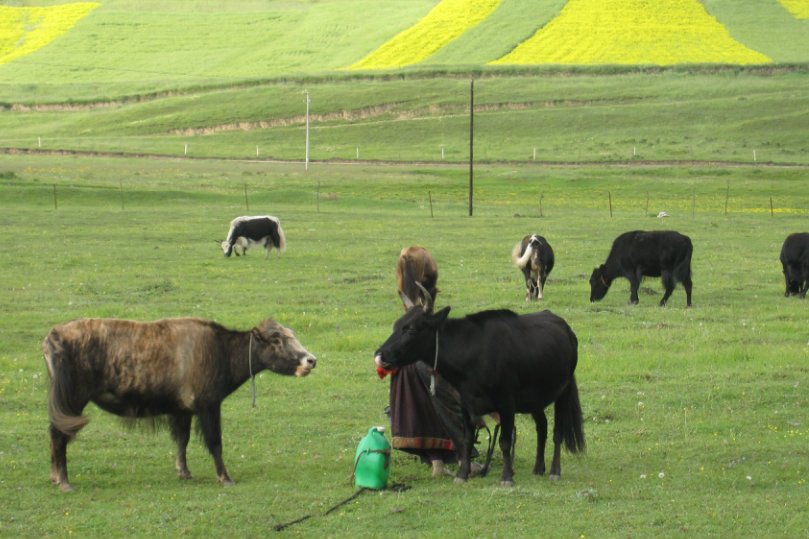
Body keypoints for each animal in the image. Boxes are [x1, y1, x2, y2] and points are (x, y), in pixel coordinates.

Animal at [42, 316, 316, 494]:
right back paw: (64, 481)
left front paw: (184, 471)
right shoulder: (208, 405)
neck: (222, 351)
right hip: (72, 399)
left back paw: (55, 478)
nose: (311, 360)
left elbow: (182, 440)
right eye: (277, 340)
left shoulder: (182, 410)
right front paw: (225, 478)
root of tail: (54, 336)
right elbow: (215, 442)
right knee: (59, 434)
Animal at [372, 292, 580, 490]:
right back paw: (538, 468)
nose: (380, 355)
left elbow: (505, 441)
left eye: (411, 329)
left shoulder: (506, 403)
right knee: (542, 427)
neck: (471, 352)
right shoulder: (465, 403)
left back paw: (554, 471)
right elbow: (467, 439)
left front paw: (506, 477)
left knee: (557, 432)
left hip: (563, 391)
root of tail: (566, 329)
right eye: (396, 325)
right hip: (535, 400)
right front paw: (462, 475)